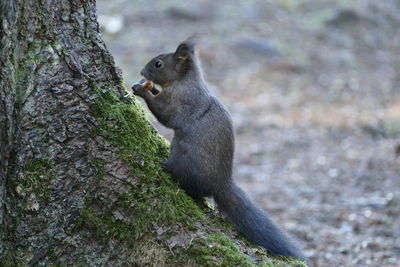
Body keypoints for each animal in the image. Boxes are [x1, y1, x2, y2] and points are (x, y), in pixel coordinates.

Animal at [133, 40, 304, 264]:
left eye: (158, 64)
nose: (142, 71)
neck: (184, 80)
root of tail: (221, 184)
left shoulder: (179, 101)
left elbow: (165, 113)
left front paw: (141, 90)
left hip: (183, 161)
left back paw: (165, 167)